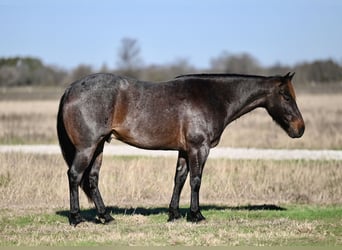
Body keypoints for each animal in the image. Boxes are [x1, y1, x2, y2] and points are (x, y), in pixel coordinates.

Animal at [56, 71, 304, 226]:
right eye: (285, 96)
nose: (300, 128)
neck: (212, 97)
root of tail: (70, 89)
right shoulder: (199, 148)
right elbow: (196, 180)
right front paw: (196, 215)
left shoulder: (185, 151)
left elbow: (180, 179)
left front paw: (174, 214)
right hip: (87, 147)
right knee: (74, 175)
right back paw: (76, 218)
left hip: (99, 146)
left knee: (92, 179)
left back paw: (106, 217)